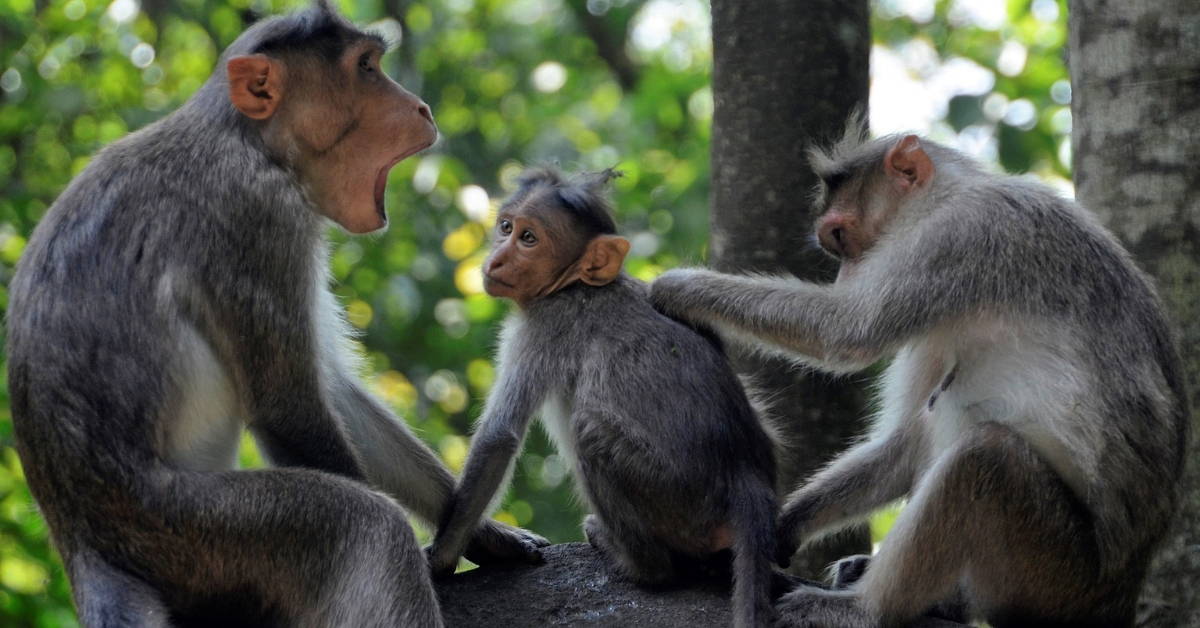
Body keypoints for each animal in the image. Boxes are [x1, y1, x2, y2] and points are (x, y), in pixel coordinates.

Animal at [5, 3, 547, 626]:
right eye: (365, 69)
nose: (421, 107)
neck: (249, 139)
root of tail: (83, 544)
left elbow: (333, 389)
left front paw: (481, 534)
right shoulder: (260, 214)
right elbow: (290, 409)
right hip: (188, 530)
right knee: (366, 526)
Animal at [424, 166, 780, 628]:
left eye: (528, 238)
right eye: (505, 227)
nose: (497, 259)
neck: (573, 283)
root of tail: (746, 475)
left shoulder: (542, 325)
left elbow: (499, 437)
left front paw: (442, 556)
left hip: (680, 503)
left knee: (589, 430)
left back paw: (636, 563)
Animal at [649, 124, 1189, 628]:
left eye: (840, 237)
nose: (844, 275)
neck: (951, 193)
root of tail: (1121, 594)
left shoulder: (958, 235)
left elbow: (847, 330)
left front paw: (682, 288)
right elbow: (907, 439)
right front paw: (782, 526)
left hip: (1059, 577)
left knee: (985, 457)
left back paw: (867, 608)